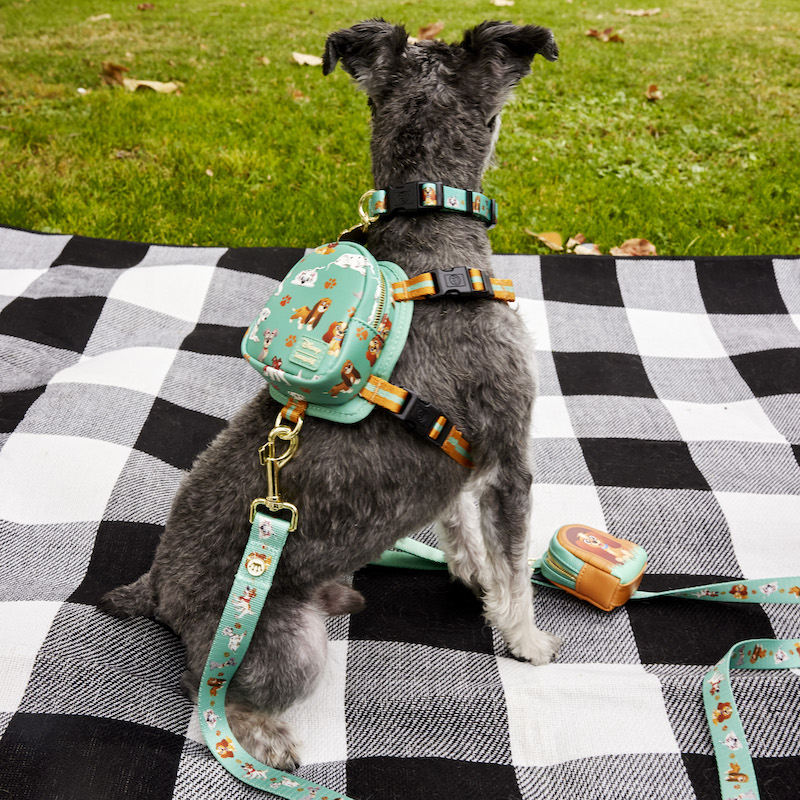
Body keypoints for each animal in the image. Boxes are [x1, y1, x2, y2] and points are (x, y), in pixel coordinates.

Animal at [101, 18, 556, 768]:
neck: (432, 252)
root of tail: (158, 590)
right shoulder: (510, 456)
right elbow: (515, 564)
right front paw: (526, 639)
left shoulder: (459, 464)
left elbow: (461, 528)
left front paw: (474, 578)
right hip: (285, 644)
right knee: (209, 693)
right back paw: (269, 738)